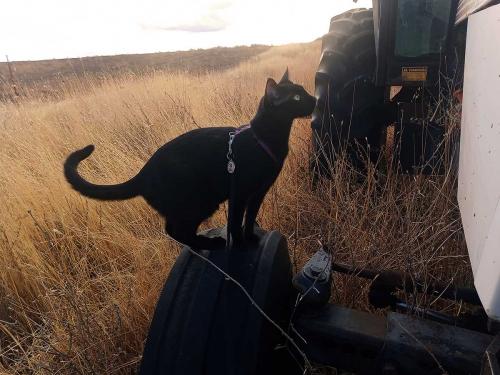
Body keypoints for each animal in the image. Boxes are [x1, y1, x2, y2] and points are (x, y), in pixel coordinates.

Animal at [63, 70, 312, 251]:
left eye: (304, 92)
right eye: (297, 97)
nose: (315, 99)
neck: (264, 138)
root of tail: (144, 173)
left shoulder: (259, 192)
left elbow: (250, 218)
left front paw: (250, 238)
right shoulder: (239, 193)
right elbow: (235, 223)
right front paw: (240, 245)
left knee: (175, 229)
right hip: (200, 201)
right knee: (175, 230)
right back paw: (208, 243)